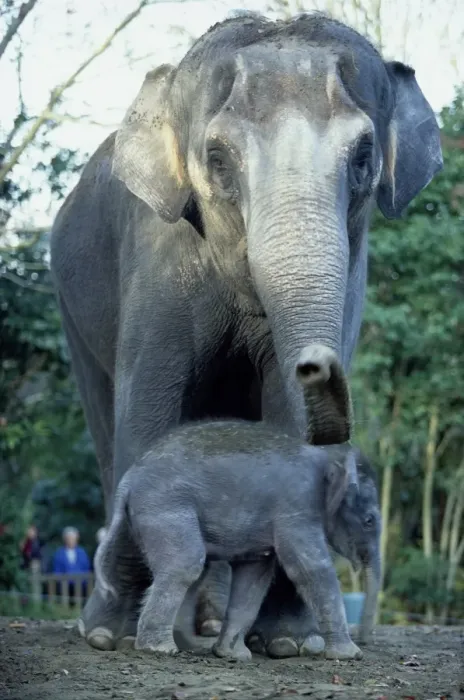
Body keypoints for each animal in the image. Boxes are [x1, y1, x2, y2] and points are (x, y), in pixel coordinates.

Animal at [93, 345, 380, 660]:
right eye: (369, 521)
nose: (364, 639)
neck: (328, 459)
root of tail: (128, 479)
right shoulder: (297, 508)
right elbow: (311, 569)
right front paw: (349, 654)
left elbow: (254, 577)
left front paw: (234, 655)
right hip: (164, 509)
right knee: (186, 564)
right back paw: (161, 648)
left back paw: (188, 645)